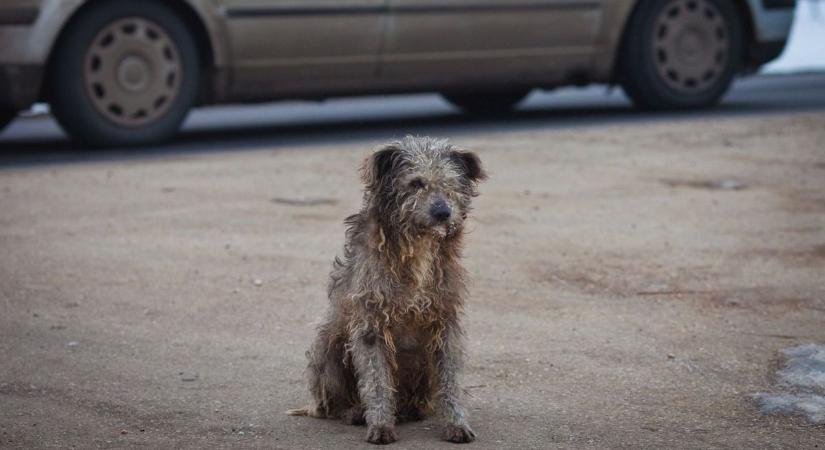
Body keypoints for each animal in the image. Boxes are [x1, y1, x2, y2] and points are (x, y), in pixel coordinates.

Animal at [288, 136, 486, 442]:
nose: (443, 212)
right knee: (333, 403)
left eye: (450, 183)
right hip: (328, 344)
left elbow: (449, 380)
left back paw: (410, 411)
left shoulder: (445, 322)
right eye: (416, 183)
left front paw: (456, 423)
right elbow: (376, 379)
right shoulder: (371, 324)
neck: (416, 244)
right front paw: (380, 425)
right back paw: (355, 411)